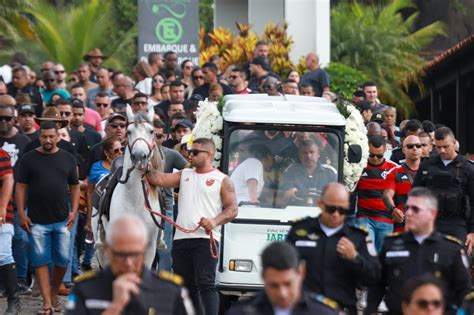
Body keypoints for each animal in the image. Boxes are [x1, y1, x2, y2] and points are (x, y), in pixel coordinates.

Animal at [93, 107, 164, 268]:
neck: (135, 202)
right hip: (101, 246)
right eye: (129, 131)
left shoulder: (149, 247)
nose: (139, 156)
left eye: (151, 131)